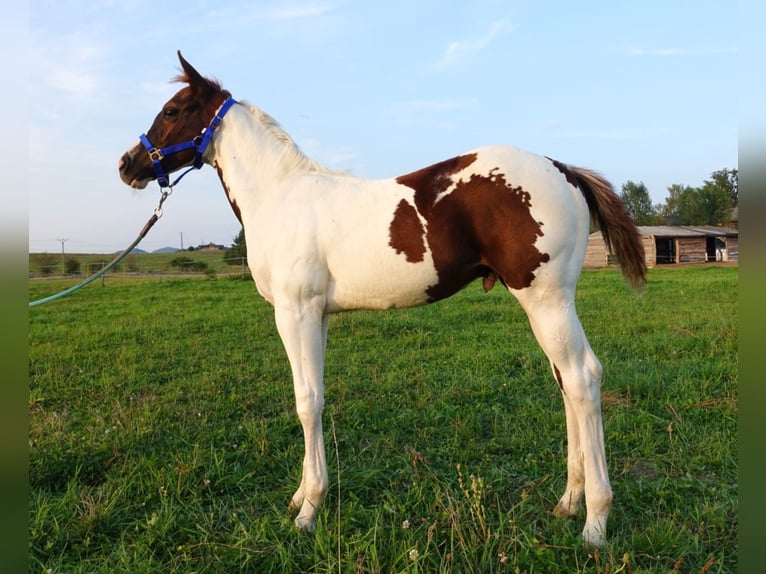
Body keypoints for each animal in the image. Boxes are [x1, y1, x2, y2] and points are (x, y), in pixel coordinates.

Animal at [120, 50, 648, 548]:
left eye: (172, 110)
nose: (127, 165)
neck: (280, 196)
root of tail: (564, 170)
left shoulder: (296, 312)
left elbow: (306, 401)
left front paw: (308, 510)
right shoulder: (318, 316)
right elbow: (315, 396)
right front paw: (302, 494)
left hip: (545, 298)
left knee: (583, 378)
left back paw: (595, 523)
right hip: (546, 304)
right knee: (567, 385)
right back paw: (568, 501)